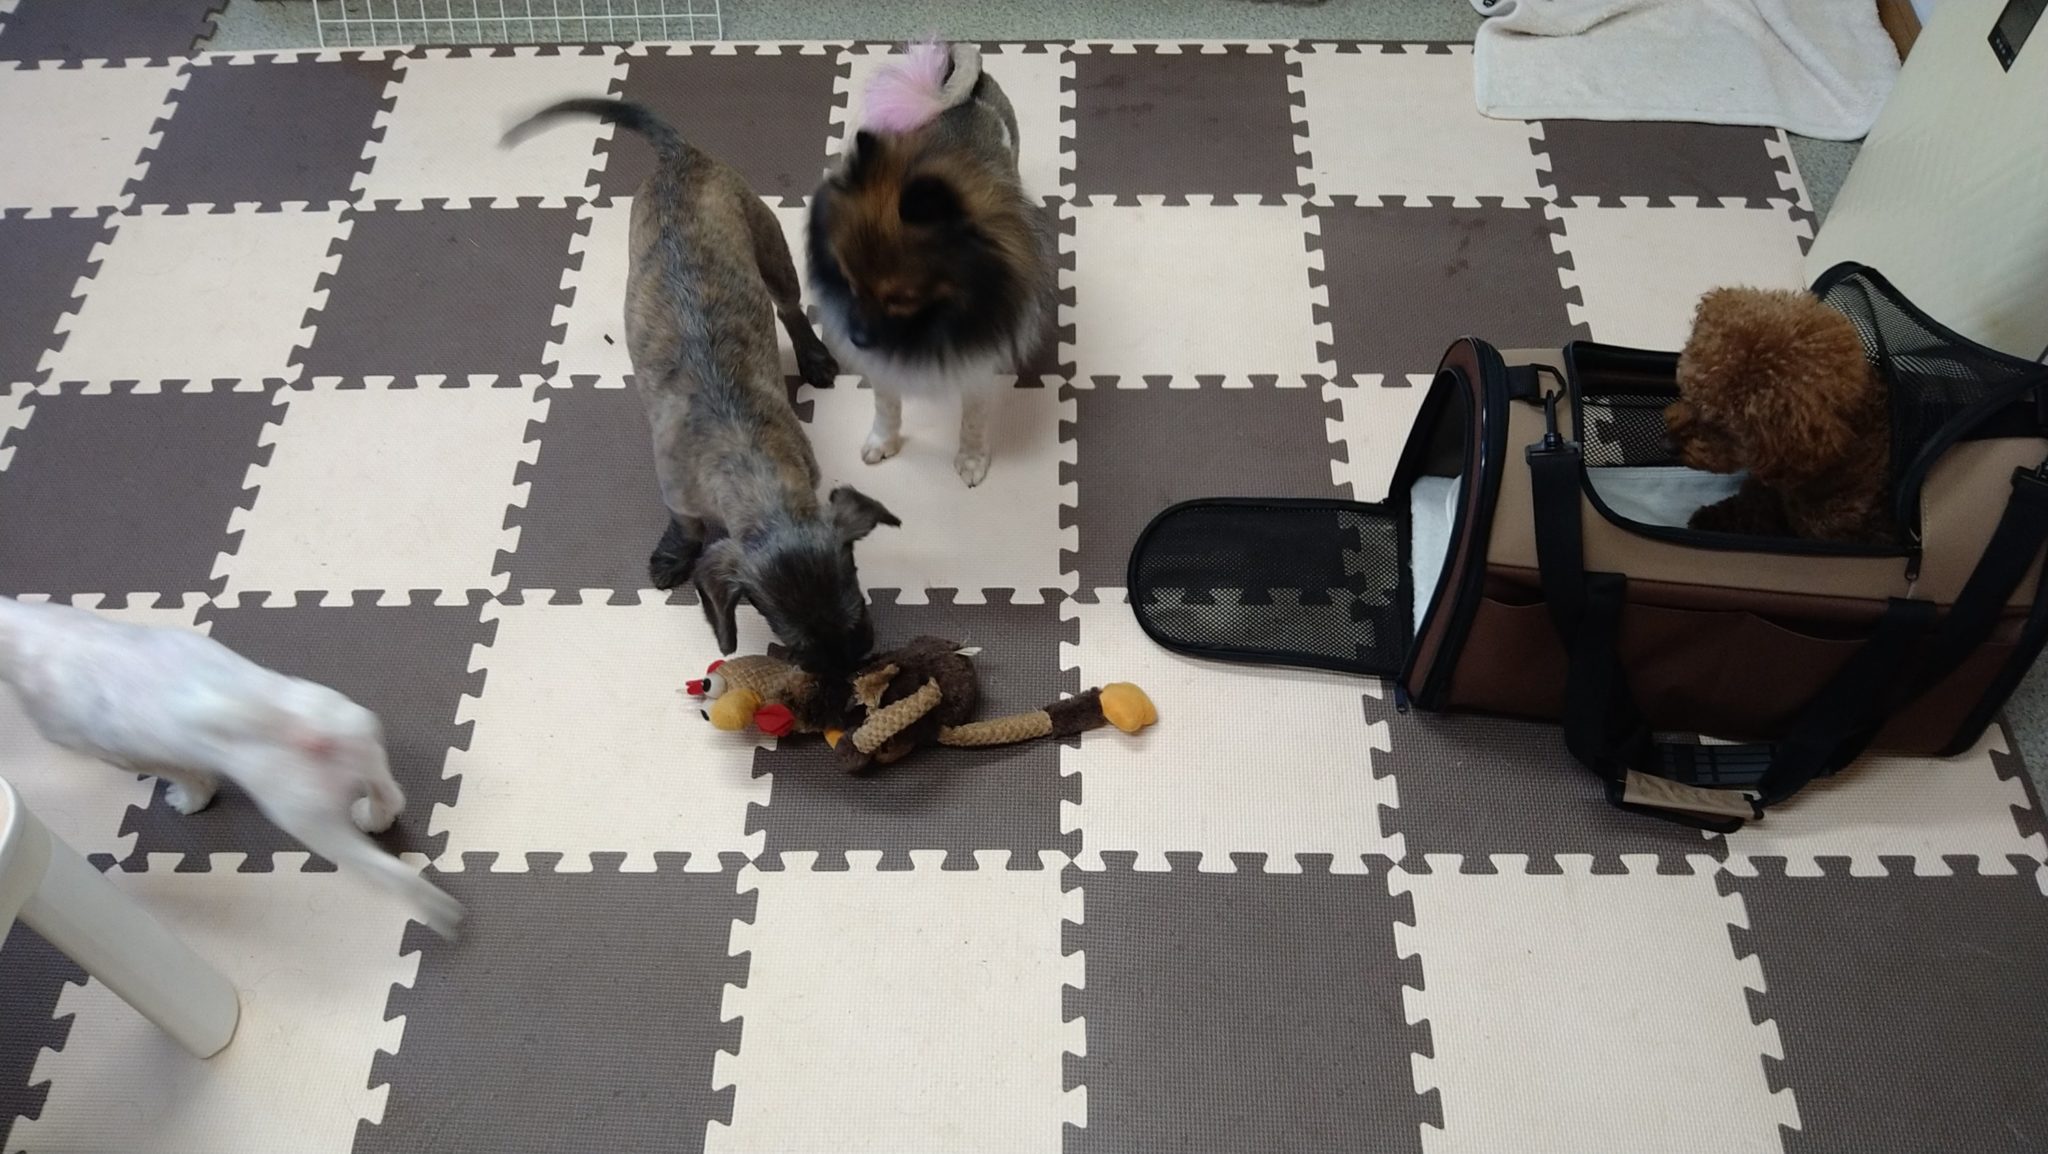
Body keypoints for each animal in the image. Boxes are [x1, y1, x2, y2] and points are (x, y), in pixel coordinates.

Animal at [0, 596, 462, 938]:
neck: (32, 634)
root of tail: (300, 730)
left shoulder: (119, 751)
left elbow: (184, 774)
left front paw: (188, 799)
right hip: (358, 739)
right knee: (388, 796)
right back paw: (372, 816)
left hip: (308, 820)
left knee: (397, 877)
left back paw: (437, 913)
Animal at [505, 100, 900, 684]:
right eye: (796, 644)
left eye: (858, 624)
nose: (843, 680)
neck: (753, 468)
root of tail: (679, 154)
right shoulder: (680, 496)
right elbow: (686, 528)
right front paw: (672, 558)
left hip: (770, 248)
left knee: (789, 307)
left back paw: (814, 357)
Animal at [808, 41, 1057, 487]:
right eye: (849, 284)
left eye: (901, 298)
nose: (857, 338)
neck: (927, 323)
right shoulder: (884, 367)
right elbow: (886, 406)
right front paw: (883, 441)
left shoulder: (977, 362)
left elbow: (973, 420)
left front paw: (972, 459)